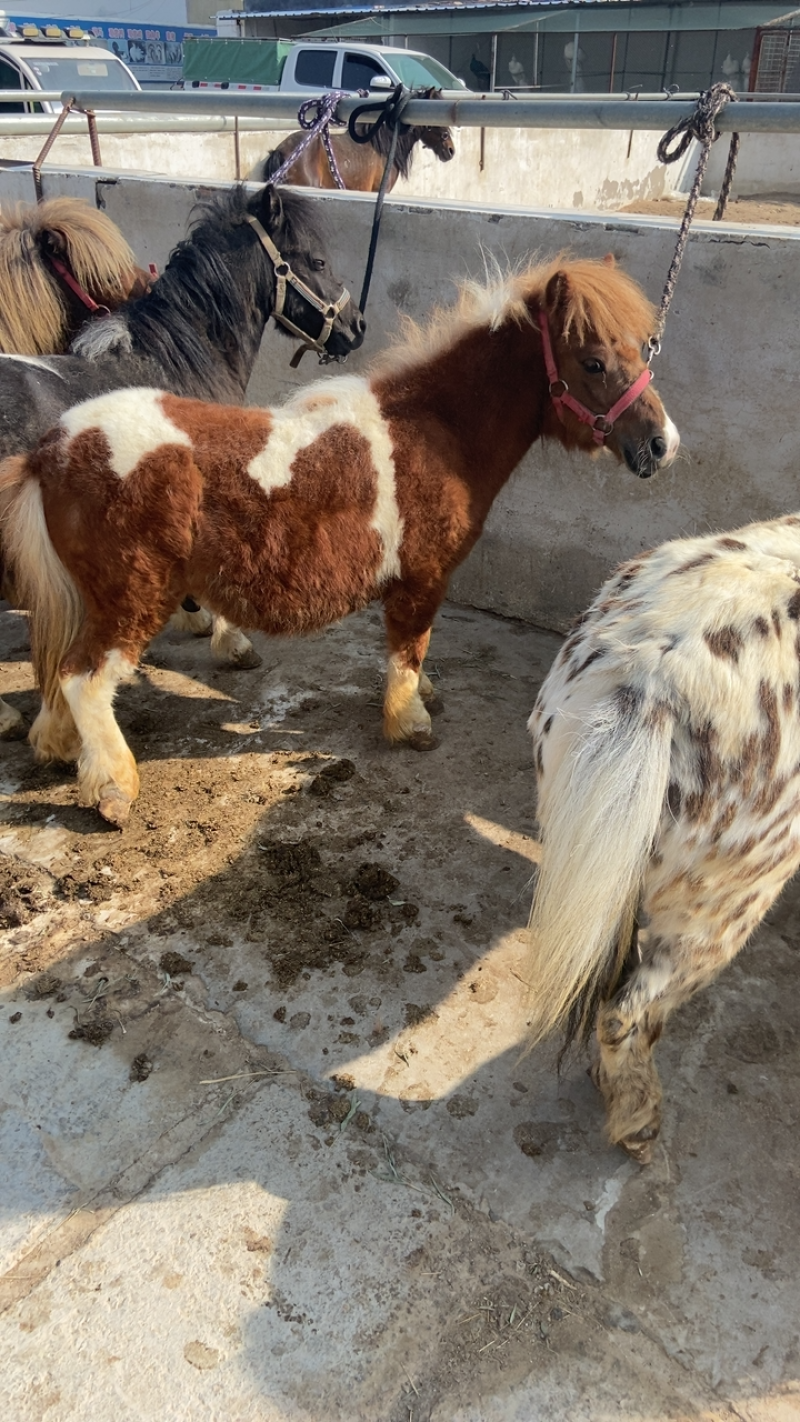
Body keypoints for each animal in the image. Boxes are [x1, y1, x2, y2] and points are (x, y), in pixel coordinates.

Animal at [0, 253, 678, 827]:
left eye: (642, 350)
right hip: (133, 596)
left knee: (57, 668)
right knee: (84, 677)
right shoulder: (423, 578)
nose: (662, 444)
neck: (435, 431)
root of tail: (52, 448)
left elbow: (413, 650)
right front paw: (410, 721)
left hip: (90, 597)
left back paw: (57, 746)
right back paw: (113, 786)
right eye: (593, 362)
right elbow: (408, 647)